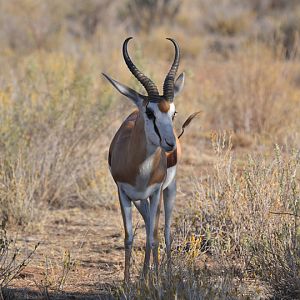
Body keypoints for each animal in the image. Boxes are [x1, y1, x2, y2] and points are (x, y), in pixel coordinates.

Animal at [103, 37, 199, 282]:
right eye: (150, 112)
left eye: (173, 113)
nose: (170, 144)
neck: (139, 168)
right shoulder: (123, 193)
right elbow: (129, 237)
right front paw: (128, 282)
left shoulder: (155, 192)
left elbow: (154, 236)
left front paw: (151, 279)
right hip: (140, 200)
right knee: (148, 225)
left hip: (169, 190)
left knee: (163, 232)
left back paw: (165, 272)